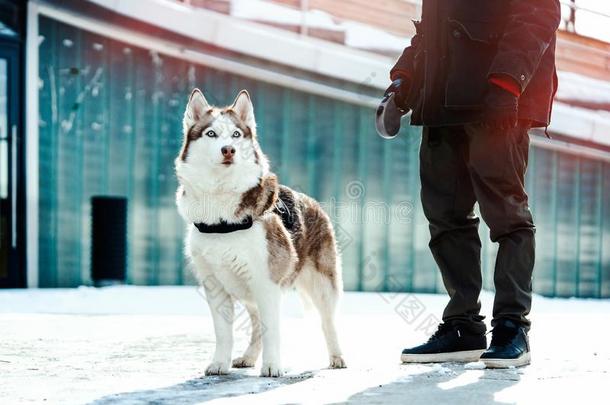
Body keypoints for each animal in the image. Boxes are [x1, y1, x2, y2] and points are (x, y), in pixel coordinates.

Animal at [176, 87, 344, 376]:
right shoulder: (215, 286)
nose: (229, 150)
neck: (221, 215)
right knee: (256, 324)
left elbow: (272, 331)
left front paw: (273, 365)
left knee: (327, 321)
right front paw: (219, 363)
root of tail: (314, 203)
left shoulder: (266, 282)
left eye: (236, 134)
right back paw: (248, 357)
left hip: (321, 284)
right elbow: (224, 333)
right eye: (211, 134)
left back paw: (336, 357)